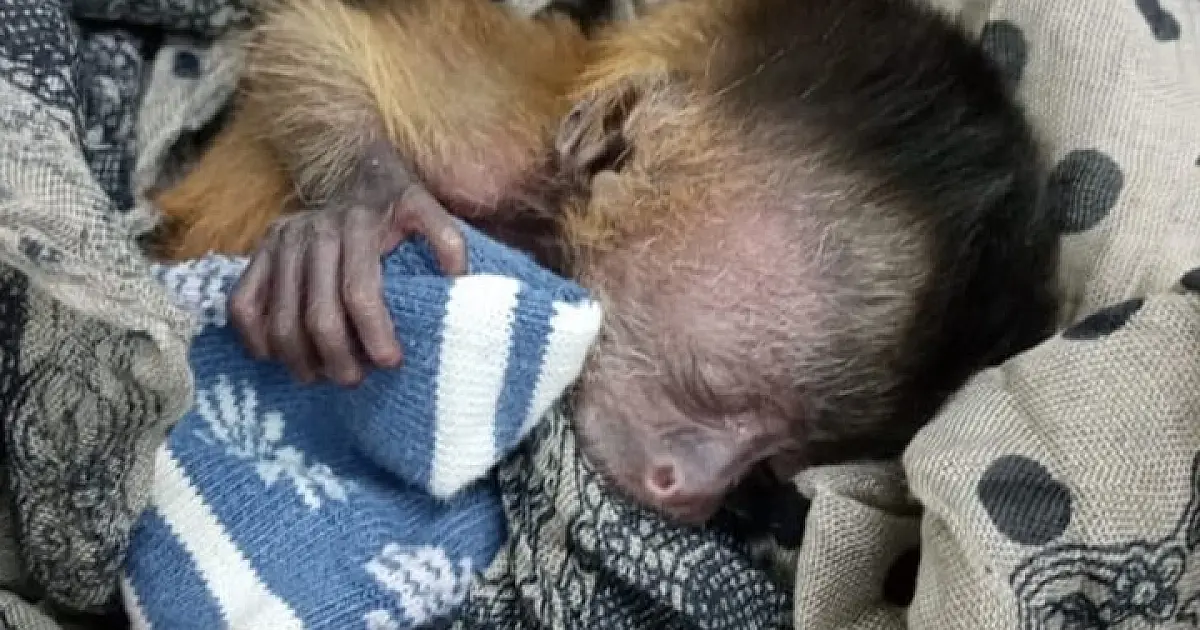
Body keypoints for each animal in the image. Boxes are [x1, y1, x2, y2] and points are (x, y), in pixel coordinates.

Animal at [149, 0, 1061, 526]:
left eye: (772, 469)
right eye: (711, 389)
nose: (692, 492)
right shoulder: (494, 150)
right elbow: (314, 33)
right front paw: (364, 203)